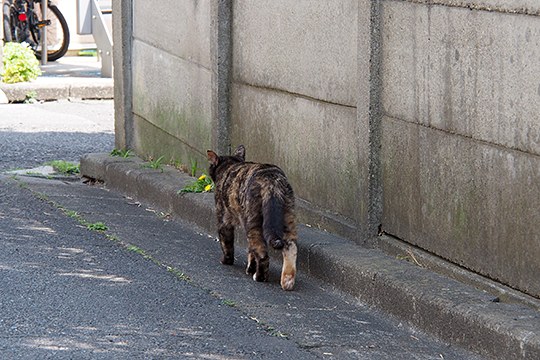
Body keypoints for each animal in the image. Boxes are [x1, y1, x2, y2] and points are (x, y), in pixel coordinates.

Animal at [208, 145, 300, 292]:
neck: (230, 165)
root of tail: (271, 180)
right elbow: (251, 250)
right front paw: (250, 268)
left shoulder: (223, 220)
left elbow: (227, 244)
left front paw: (227, 261)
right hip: (287, 218)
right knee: (291, 248)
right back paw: (287, 282)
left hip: (253, 222)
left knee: (262, 255)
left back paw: (259, 277)